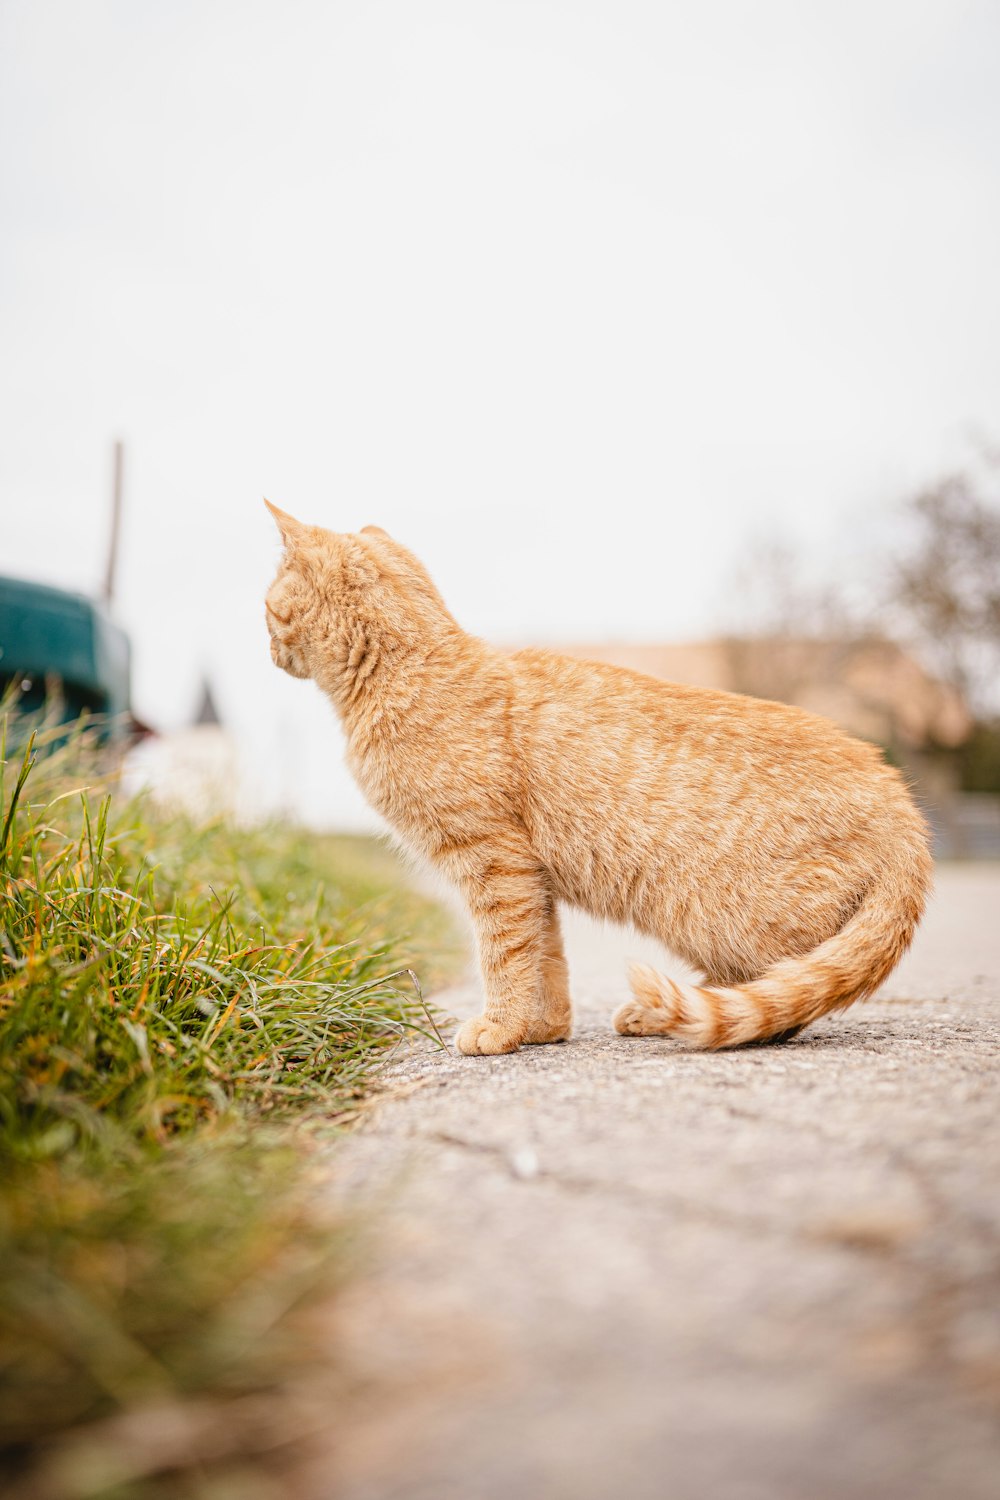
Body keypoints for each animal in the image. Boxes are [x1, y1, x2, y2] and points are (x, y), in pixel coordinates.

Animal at [263, 504, 929, 1056]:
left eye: (267, 609)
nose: (266, 649)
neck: (410, 671)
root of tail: (905, 811)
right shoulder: (531, 876)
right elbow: (546, 959)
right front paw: (541, 1030)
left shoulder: (494, 863)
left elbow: (504, 956)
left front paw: (499, 1029)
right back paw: (659, 1013)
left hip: (710, 911)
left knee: (781, 994)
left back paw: (679, 1013)